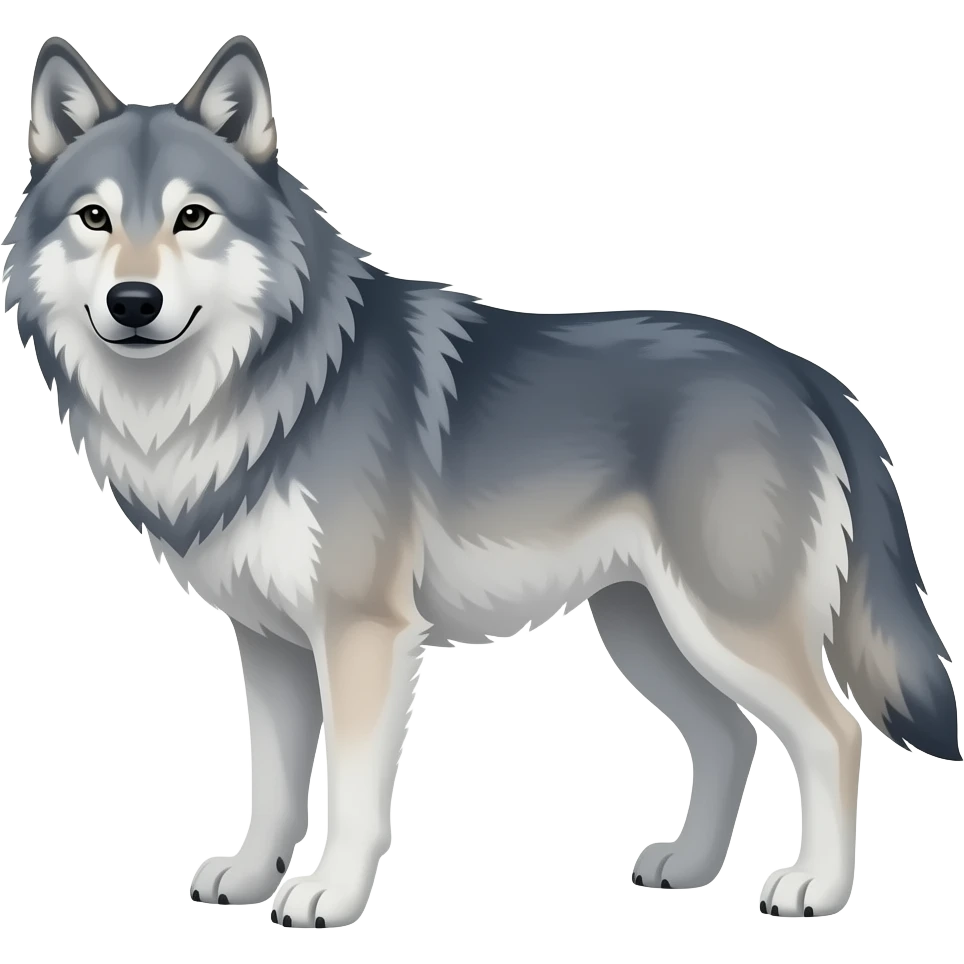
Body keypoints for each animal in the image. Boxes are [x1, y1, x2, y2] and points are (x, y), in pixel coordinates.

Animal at [4, 33, 960, 927]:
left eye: (193, 217)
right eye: (95, 218)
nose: (133, 302)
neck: (254, 394)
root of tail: (802, 371)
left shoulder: (362, 636)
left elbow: (350, 794)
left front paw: (328, 898)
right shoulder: (268, 642)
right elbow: (271, 785)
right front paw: (247, 878)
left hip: (724, 626)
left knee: (834, 733)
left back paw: (816, 888)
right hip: (648, 630)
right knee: (730, 736)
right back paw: (687, 869)